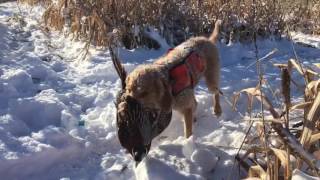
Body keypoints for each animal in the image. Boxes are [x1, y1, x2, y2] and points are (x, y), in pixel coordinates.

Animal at [113, 20, 222, 163]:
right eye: (129, 89)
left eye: (143, 93)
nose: (125, 101)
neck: (168, 79)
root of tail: (207, 40)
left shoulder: (184, 105)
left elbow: (188, 132)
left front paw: (189, 145)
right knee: (197, 102)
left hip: (211, 79)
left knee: (216, 92)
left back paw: (217, 109)